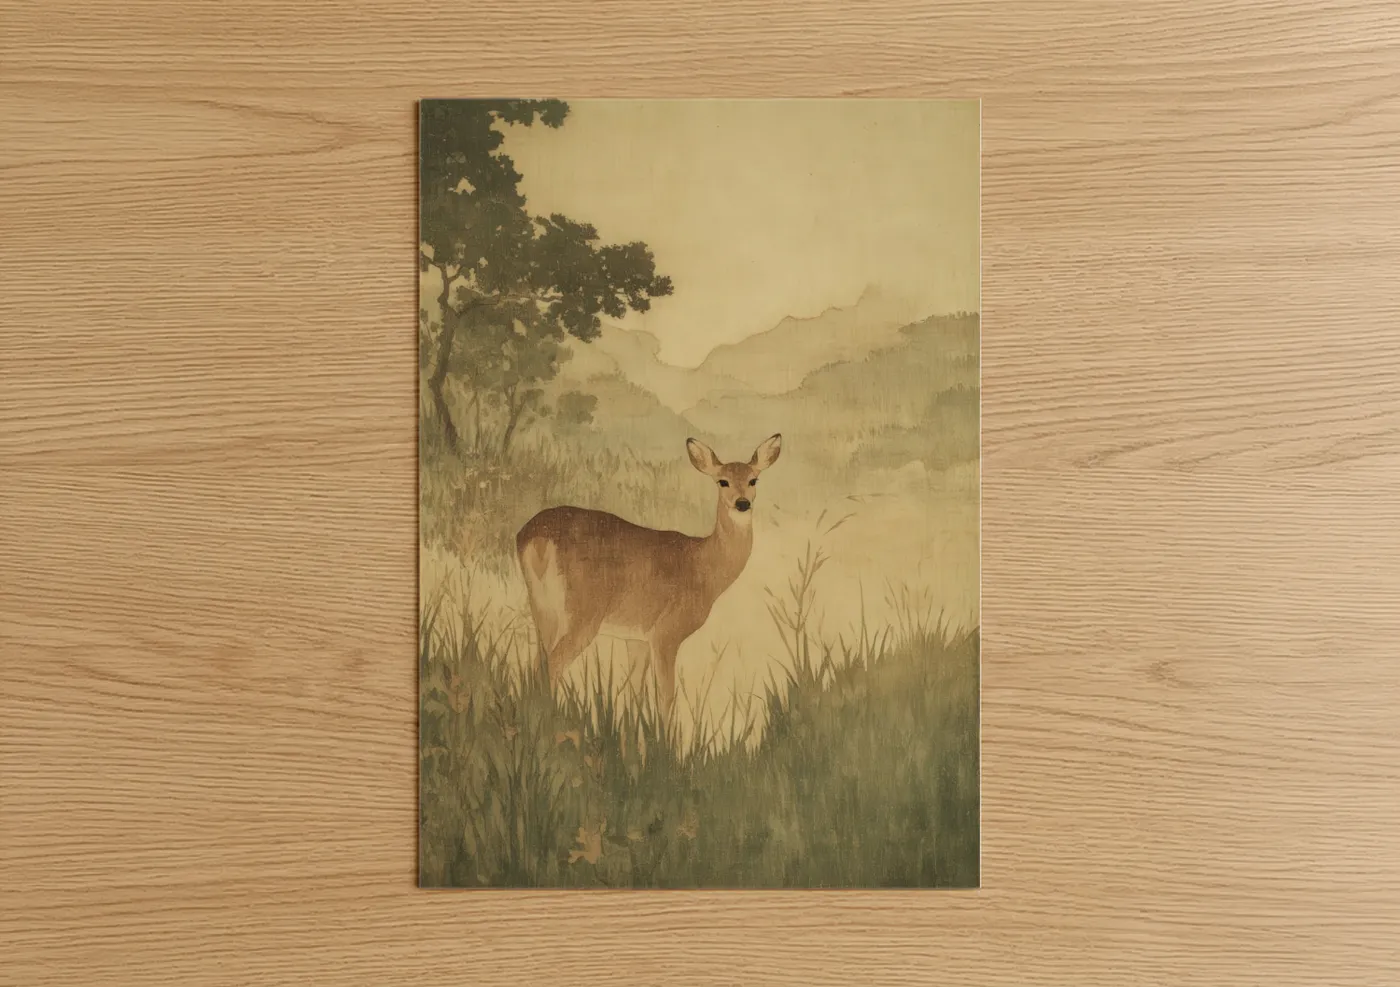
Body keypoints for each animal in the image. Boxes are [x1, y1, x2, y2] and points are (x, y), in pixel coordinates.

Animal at [515, 434, 783, 723]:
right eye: (722, 481)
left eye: (753, 479)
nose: (742, 503)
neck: (701, 567)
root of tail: (537, 537)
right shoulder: (666, 633)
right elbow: (665, 699)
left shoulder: (637, 637)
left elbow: (634, 694)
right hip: (582, 612)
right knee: (553, 665)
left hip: (542, 608)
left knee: (537, 665)